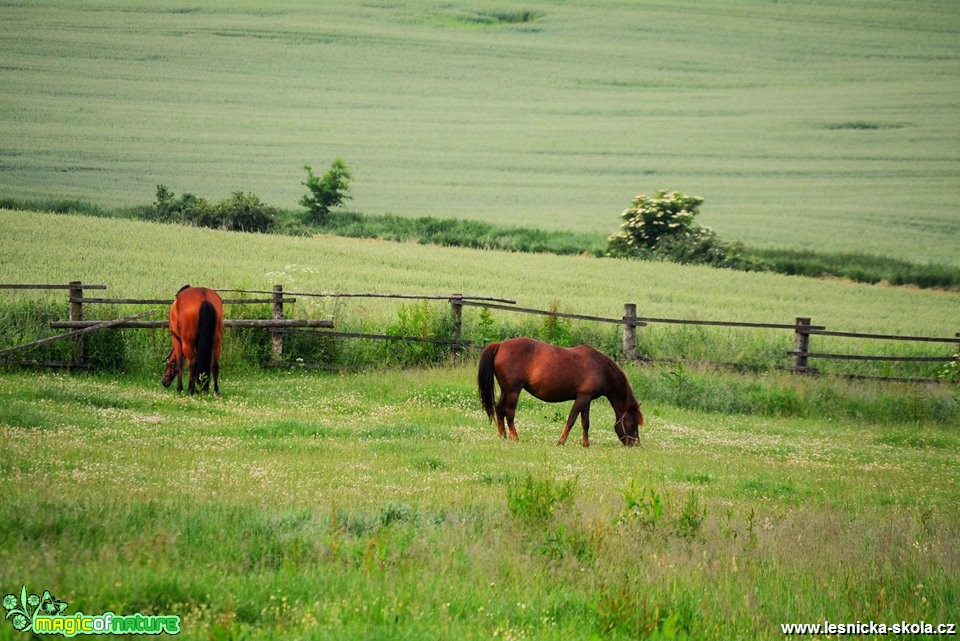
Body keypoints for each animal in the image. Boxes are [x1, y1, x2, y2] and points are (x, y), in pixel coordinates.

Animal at [474, 336, 640, 444]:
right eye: (633, 424)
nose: (636, 443)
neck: (599, 367)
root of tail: (500, 345)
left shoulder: (587, 399)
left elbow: (585, 422)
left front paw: (586, 443)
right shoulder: (582, 398)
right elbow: (571, 420)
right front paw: (561, 441)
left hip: (506, 391)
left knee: (499, 409)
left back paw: (502, 436)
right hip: (513, 391)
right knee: (509, 413)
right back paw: (515, 437)